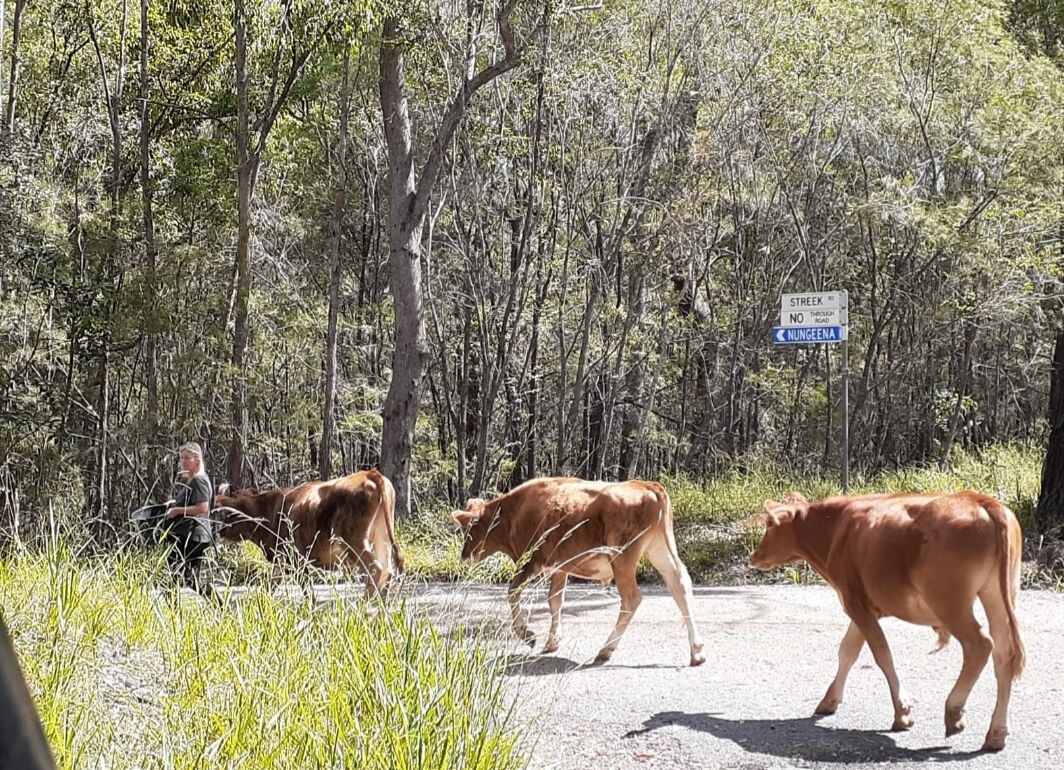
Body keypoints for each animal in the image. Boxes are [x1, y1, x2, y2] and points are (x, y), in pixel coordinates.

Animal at [214, 465, 402, 599]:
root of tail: (369, 474)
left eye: (224, 515)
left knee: (376, 569)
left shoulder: (297, 560)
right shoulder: (281, 561)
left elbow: (308, 593)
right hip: (381, 539)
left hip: (354, 542)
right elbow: (270, 587)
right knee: (388, 571)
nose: (216, 535)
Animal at [749, 493, 1021, 752]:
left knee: (980, 646)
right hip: (997, 596)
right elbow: (848, 651)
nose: (754, 556)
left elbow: (881, 653)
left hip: (950, 604)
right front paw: (829, 700)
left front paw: (902, 713)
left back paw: (954, 713)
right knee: (1003, 654)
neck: (837, 528)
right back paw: (996, 734)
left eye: (770, 523)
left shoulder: (854, 603)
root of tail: (979, 499)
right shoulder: (864, 607)